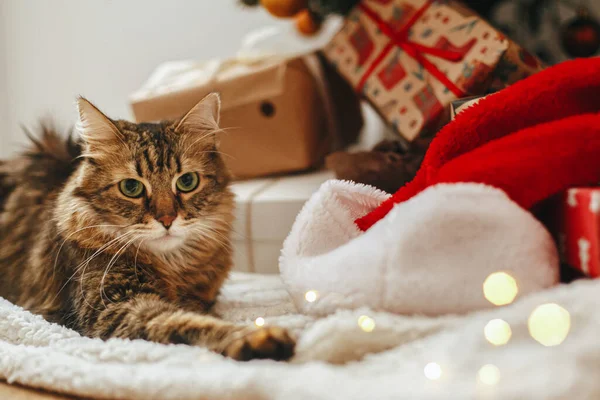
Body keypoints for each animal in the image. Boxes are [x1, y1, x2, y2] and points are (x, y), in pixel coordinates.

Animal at [0, 94, 296, 362]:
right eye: (131, 187)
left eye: (187, 181)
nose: (167, 219)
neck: (170, 266)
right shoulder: (113, 305)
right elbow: (181, 321)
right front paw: (254, 337)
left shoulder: (198, 295)